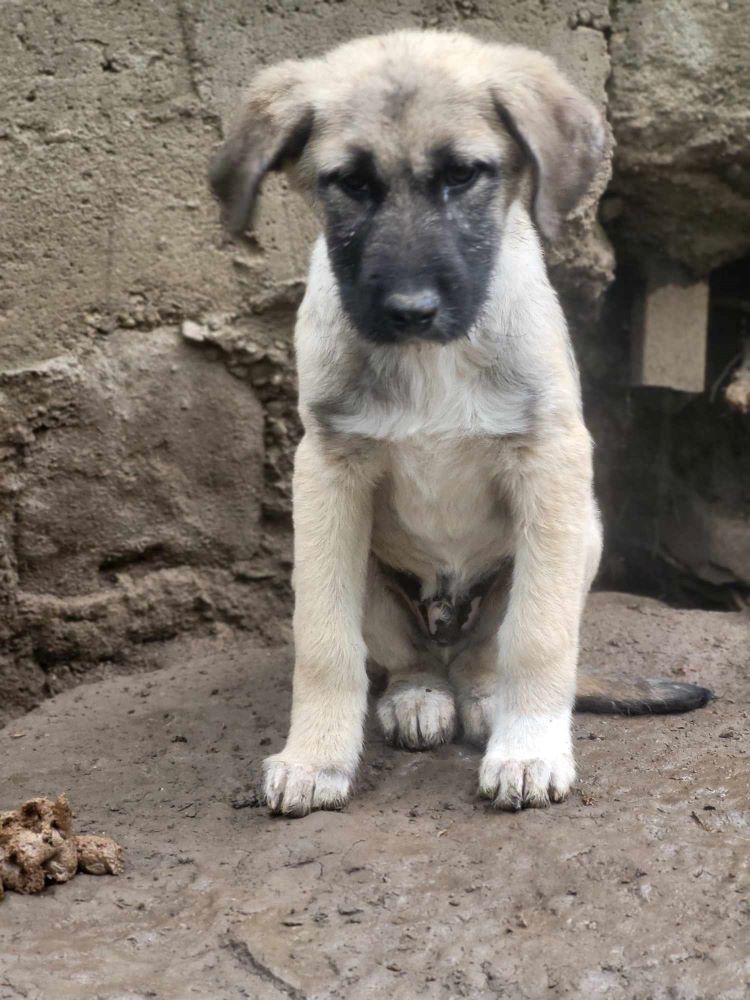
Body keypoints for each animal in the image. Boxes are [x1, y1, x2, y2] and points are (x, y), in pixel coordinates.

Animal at [210, 31, 712, 816]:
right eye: (349, 184)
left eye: (463, 176)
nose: (411, 309)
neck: (432, 359)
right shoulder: (327, 474)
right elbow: (322, 642)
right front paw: (315, 758)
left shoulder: (552, 462)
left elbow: (538, 636)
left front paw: (529, 749)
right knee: (409, 660)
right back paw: (418, 697)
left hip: (582, 537)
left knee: (485, 655)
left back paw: (484, 702)